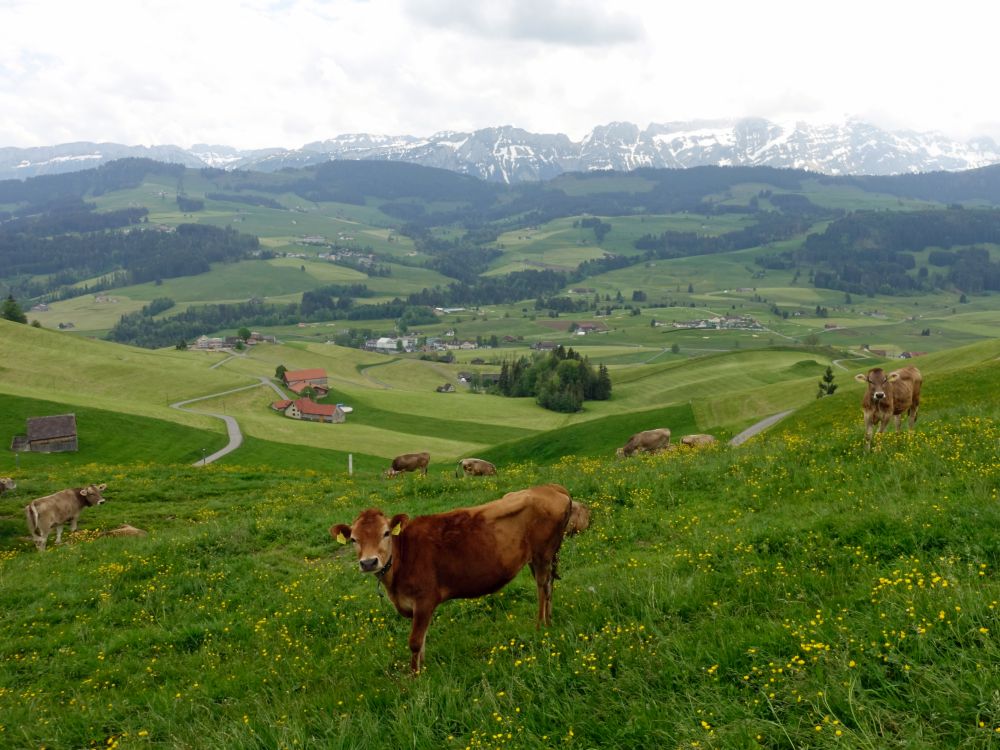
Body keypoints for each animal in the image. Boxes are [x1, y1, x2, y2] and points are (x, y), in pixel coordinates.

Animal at [334, 488, 584, 676]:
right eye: (354, 539)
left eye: (386, 533)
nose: (369, 562)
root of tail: (550, 488)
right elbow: (422, 641)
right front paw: (422, 668)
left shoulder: (425, 599)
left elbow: (415, 641)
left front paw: (415, 677)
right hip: (538, 557)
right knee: (549, 586)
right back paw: (549, 622)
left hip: (543, 553)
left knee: (543, 587)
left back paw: (540, 626)